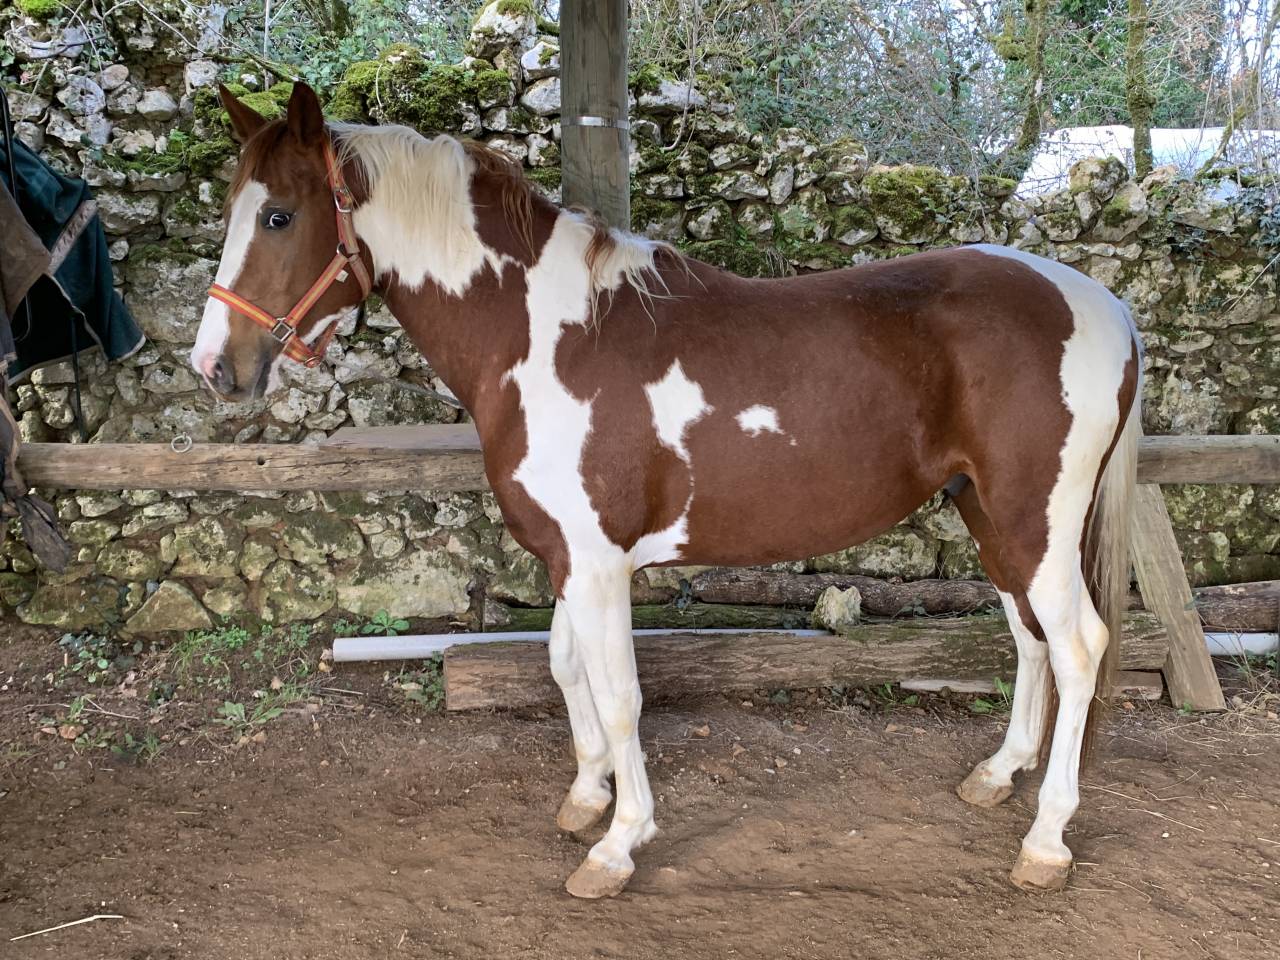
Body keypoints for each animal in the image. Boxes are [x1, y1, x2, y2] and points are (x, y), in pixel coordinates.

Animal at [193, 82, 1143, 899]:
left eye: (278, 216)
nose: (213, 368)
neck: (546, 339)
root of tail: (1106, 306)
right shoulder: (567, 556)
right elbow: (564, 667)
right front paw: (587, 798)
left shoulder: (599, 564)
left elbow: (620, 697)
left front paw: (619, 844)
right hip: (991, 516)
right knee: (1028, 641)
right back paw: (998, 775)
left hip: (1035, 522)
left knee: (1079, 647)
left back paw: (1046, 840)